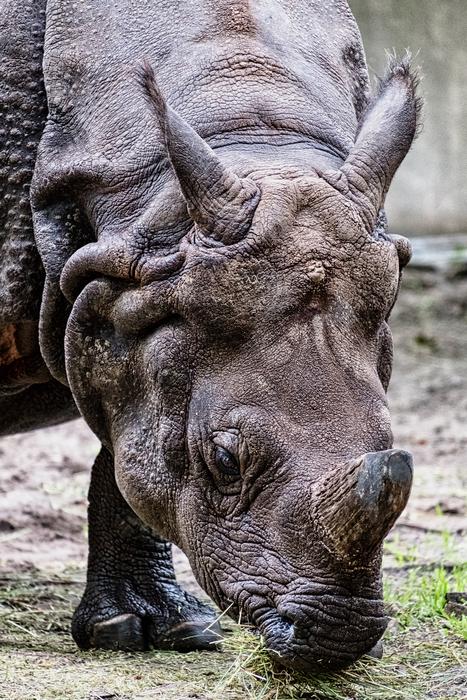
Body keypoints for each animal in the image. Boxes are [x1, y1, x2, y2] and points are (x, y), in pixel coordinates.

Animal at [0, 0, 421, 670]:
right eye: (224, 462)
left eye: (392, 442)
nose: (338, 635)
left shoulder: (134, 291)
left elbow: (129, 454)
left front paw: (151, 630)